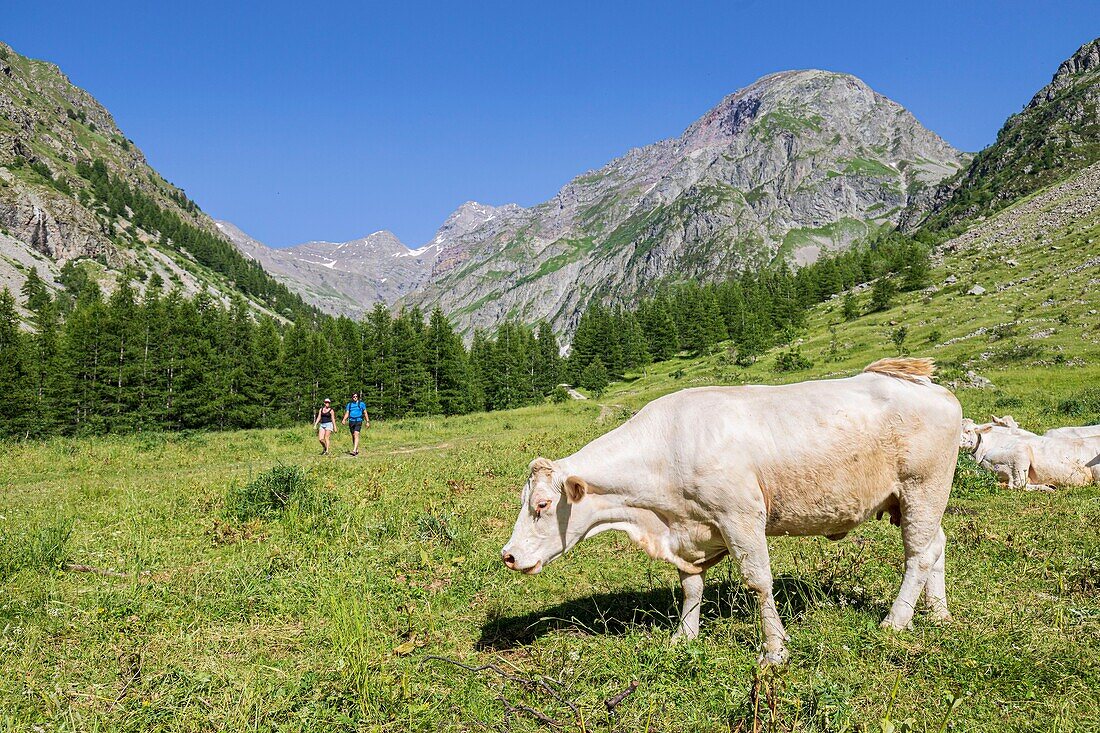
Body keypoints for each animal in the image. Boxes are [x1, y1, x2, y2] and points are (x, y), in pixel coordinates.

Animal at [503, 354, 959, 660]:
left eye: (543, 504)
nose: (507, 555)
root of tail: (932, 387)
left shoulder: (740, 516)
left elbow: (758, 582)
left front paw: (774, 649)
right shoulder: (690, 531)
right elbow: (690, 586)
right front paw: (684, 636)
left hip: (923, 487)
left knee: (918, 555)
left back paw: (895, 621)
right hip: (914, 499)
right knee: (935, 545)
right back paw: (938, 614)